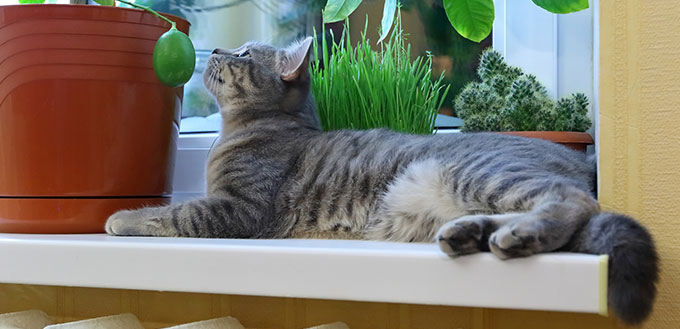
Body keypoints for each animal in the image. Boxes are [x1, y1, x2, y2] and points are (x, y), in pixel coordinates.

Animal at [107, 37, 660, 324]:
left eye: (243, 54)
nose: (220, 46)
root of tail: (581, 159)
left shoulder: (239, 209)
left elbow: (176, 213)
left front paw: (122, 218)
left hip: (480, 173)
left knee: (571, 203)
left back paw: (516, 235)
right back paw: (470, 234)